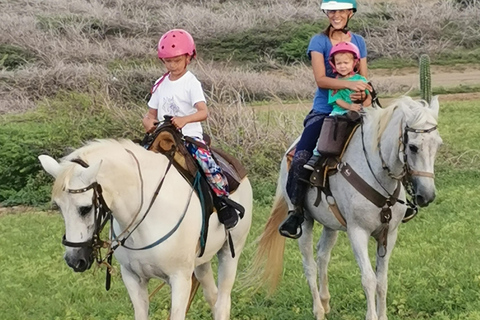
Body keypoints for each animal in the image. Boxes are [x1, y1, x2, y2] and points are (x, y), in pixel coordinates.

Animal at [39, 139, 253, 320]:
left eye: (85, 208)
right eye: (59, 207)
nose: (74, 260)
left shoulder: (180, 280)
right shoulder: (133, 279)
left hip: (230, 254)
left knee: (222, 302)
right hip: (202, 262)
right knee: (213, 297)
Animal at [255, 96, 442, 318]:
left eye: (438, 144)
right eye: (412, 147)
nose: (427, 195)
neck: (375, 172)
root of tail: (289, 152)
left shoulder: (389, 234)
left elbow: (382, 281)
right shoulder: (357, 232)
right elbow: (369, 279)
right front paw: (372, 316)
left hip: (330, 225)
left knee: (322, 256)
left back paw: (325, 301)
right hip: (304, 222)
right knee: (309, 264)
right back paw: (318, 310)